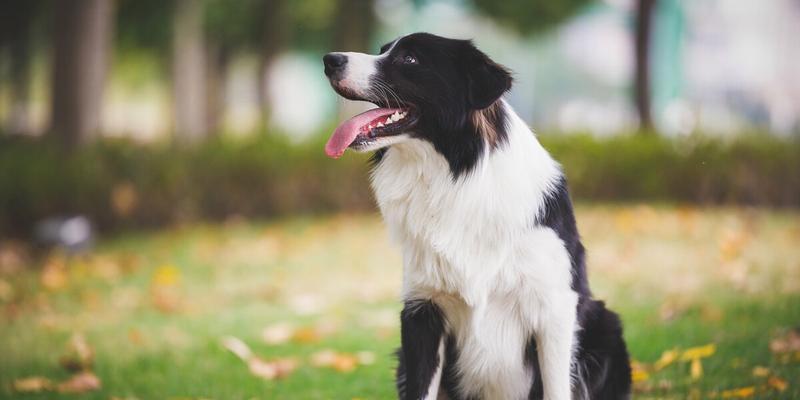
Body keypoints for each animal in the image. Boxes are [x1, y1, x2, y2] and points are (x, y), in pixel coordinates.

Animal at [322, 32, 628, 398]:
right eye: (383, 50)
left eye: (409, 59)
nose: (329, 60)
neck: (455, 176)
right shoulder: (421, 310)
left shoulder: (554, 309)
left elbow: (557, 388)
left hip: (606, 326)